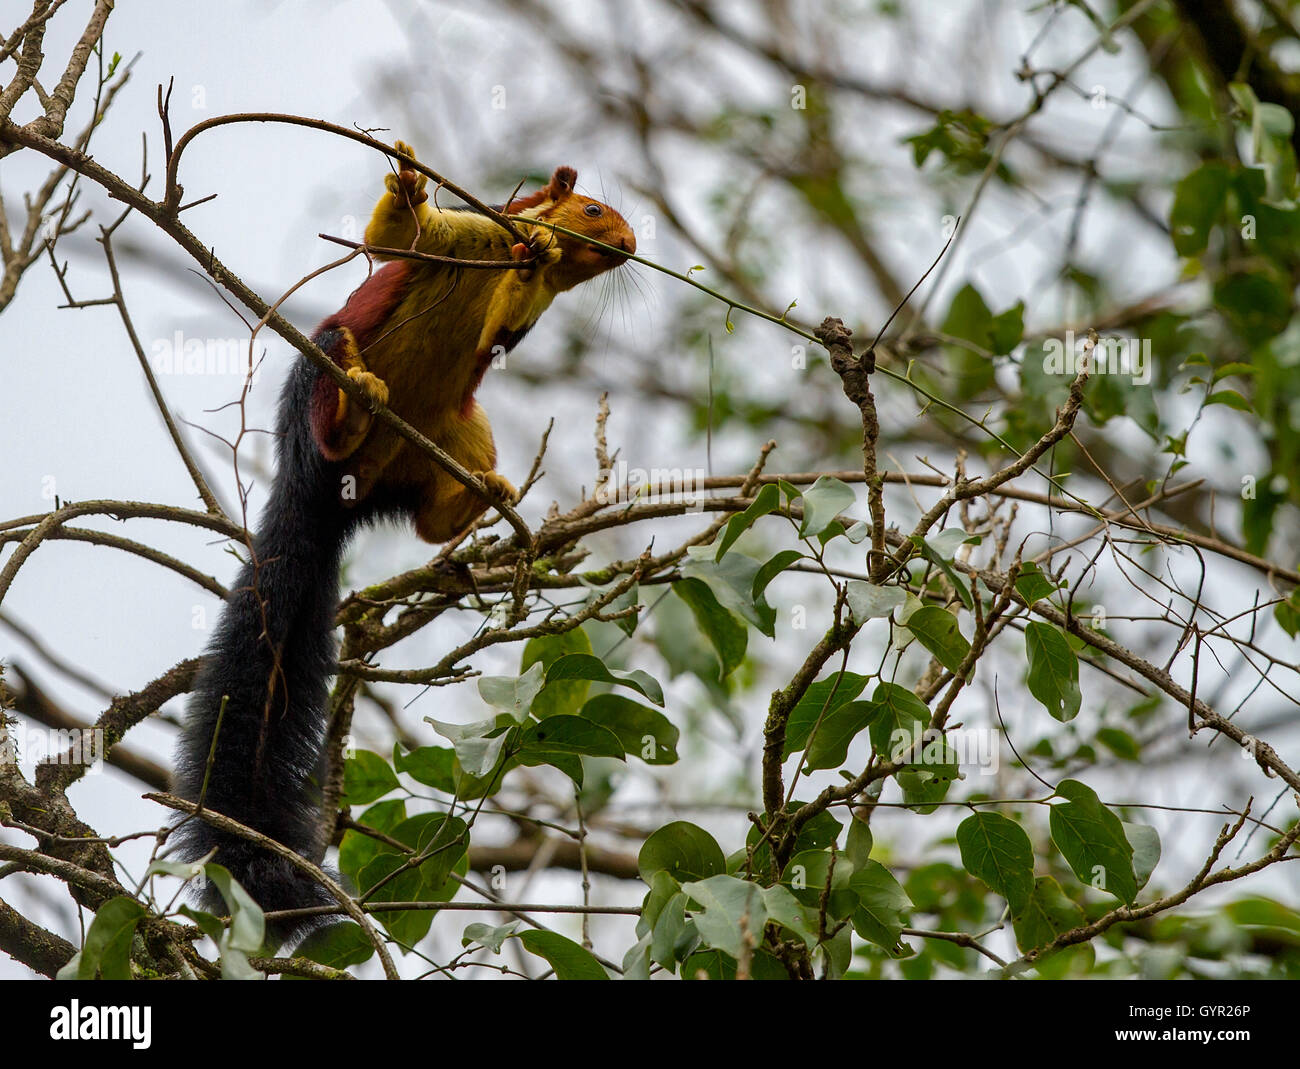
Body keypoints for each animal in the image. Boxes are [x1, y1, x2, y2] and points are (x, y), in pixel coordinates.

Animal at [171, 143, 635, 945]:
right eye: (595, 209)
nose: (633, 245)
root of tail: (321, 496)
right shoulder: (456, 236)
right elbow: (394, 238)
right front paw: (411, 183)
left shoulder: (514, 316)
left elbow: (505, 326)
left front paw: (536, 261)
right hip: (321, 370)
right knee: (337, 379)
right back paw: (355, 407)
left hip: (457, 429)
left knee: (428, 519)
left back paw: (480, 495)